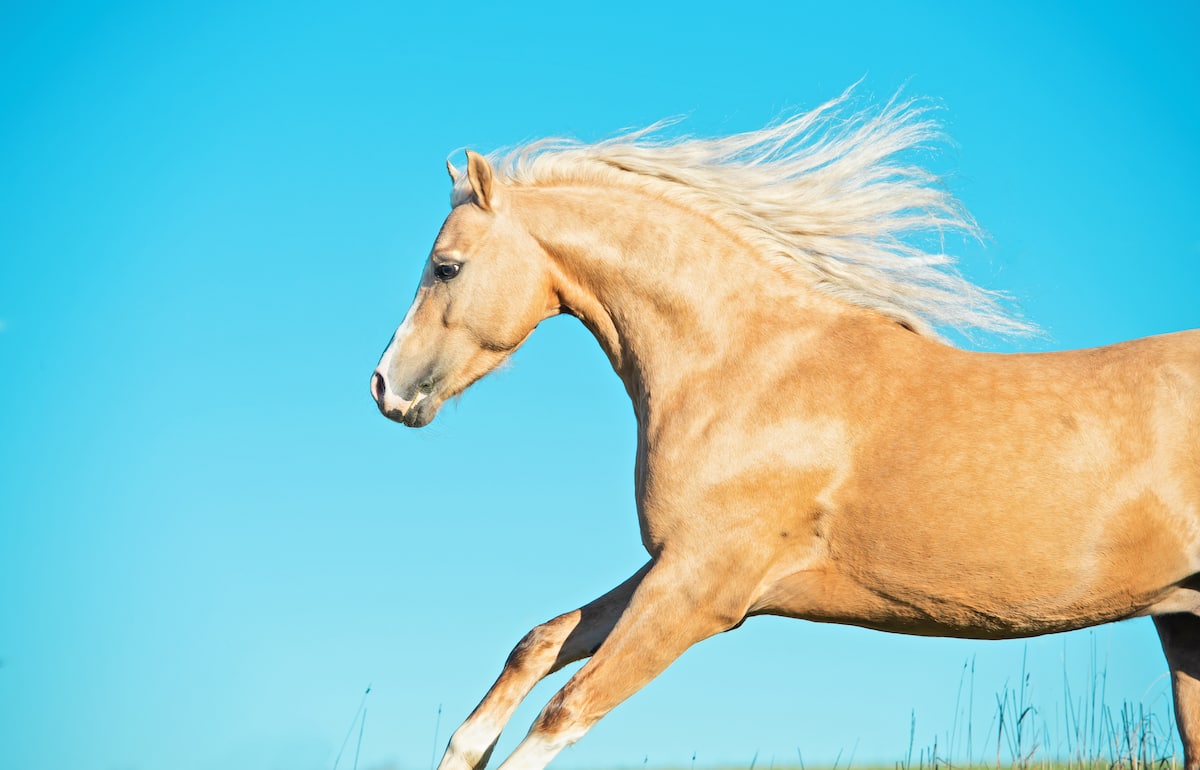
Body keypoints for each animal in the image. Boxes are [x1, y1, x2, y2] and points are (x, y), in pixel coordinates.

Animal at [370, 89, 1200, 770]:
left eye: (446, 267)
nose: (384, 387)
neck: (749, 366)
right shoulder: (677, 568)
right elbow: (537, 645)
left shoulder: (700, 591)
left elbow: (564, 711)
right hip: (1182, 624)